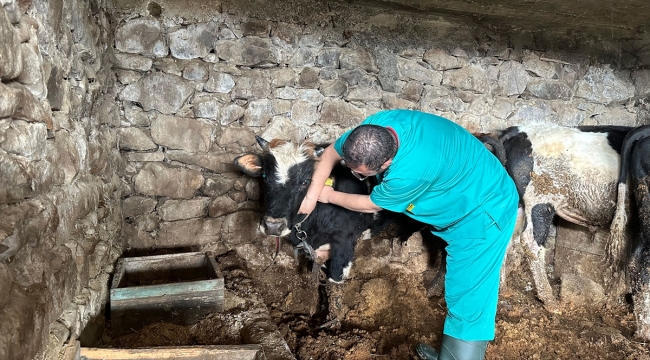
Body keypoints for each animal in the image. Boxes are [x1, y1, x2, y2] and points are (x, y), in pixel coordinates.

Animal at [494, 123, 636, 310]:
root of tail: (518, 130)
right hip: (540, 198)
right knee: (531, 243)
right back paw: (550, 302)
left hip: (517, 203)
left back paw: (502, 288)